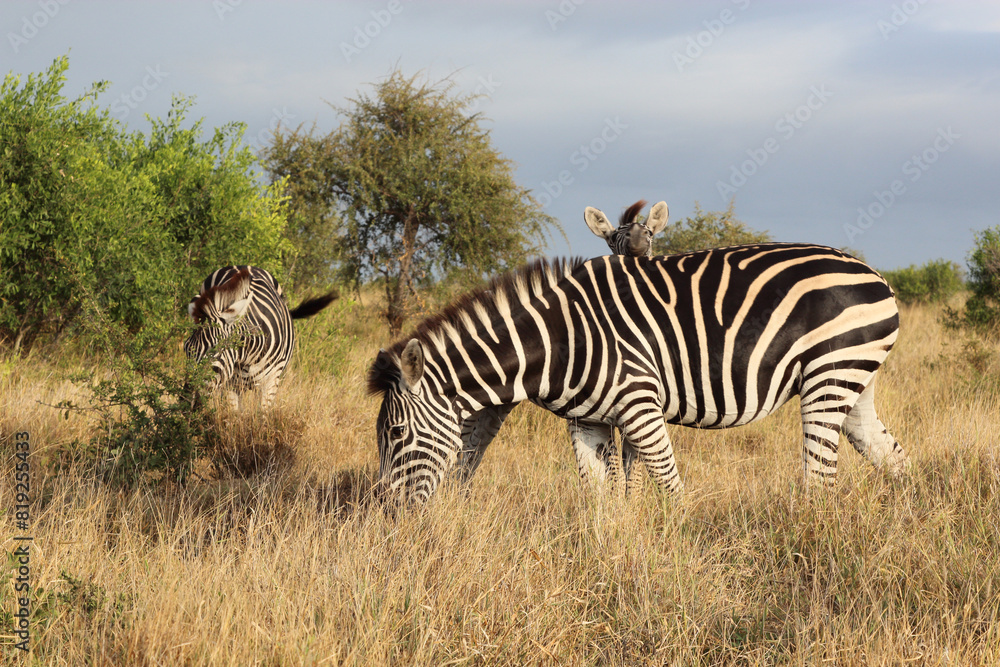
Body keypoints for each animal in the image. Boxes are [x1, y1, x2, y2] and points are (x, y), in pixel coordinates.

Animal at [184, 265, 337, 410]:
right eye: (186, 349)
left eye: (215, 351)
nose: (186, 400)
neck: (248, 356)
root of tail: (245, 265)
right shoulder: (230, 385)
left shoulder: (271, 382)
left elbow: (262, 416)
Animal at [368, 245, 909, 505]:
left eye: (396, 434)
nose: (391, 516)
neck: (559, 339)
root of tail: (875, 275)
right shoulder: (587, 421)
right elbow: (602, 498)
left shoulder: (640, 403)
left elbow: (670, 489)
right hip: (855, 382)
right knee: (894, 460)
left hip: (829, 376)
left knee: (820, 480)